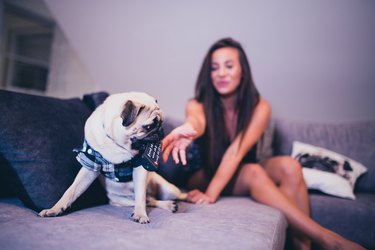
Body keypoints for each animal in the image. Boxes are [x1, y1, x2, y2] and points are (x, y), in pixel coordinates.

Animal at [38, 93, 188, 224]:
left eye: (161, 122)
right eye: (149, 126)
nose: (161, 131)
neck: (118, 145)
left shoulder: (140, 167)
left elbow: (140, 196)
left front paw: (140, 214)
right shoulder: (90, 165)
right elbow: (71, 191)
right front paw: (55, 209)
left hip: (169, 189)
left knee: (162, 197)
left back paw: (181, 200)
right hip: (120, 201)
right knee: (150, 201)